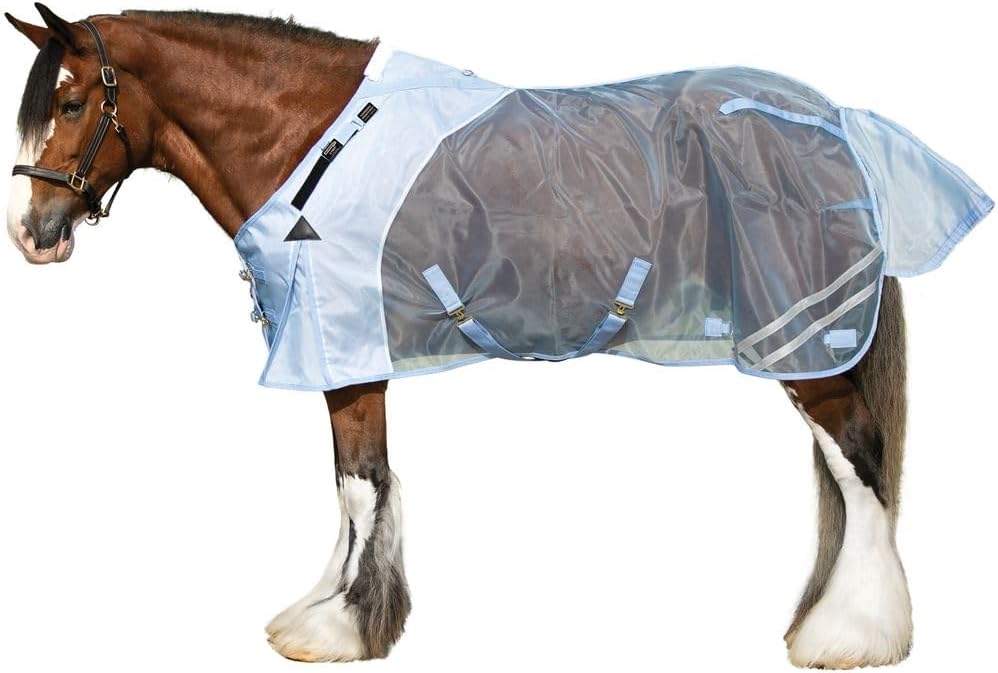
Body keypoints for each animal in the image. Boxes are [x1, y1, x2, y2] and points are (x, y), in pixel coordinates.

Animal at [4, 5, 984, 668]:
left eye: (73, 102)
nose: (34, 233)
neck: (316, 145)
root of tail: (837, 122)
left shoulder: (347, 352)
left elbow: (361, 485)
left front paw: (339, 627)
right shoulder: (347, 357)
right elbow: (355, 488)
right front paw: (332, 610)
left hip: (801, 335)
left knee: (859, 458)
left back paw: (852, 634)